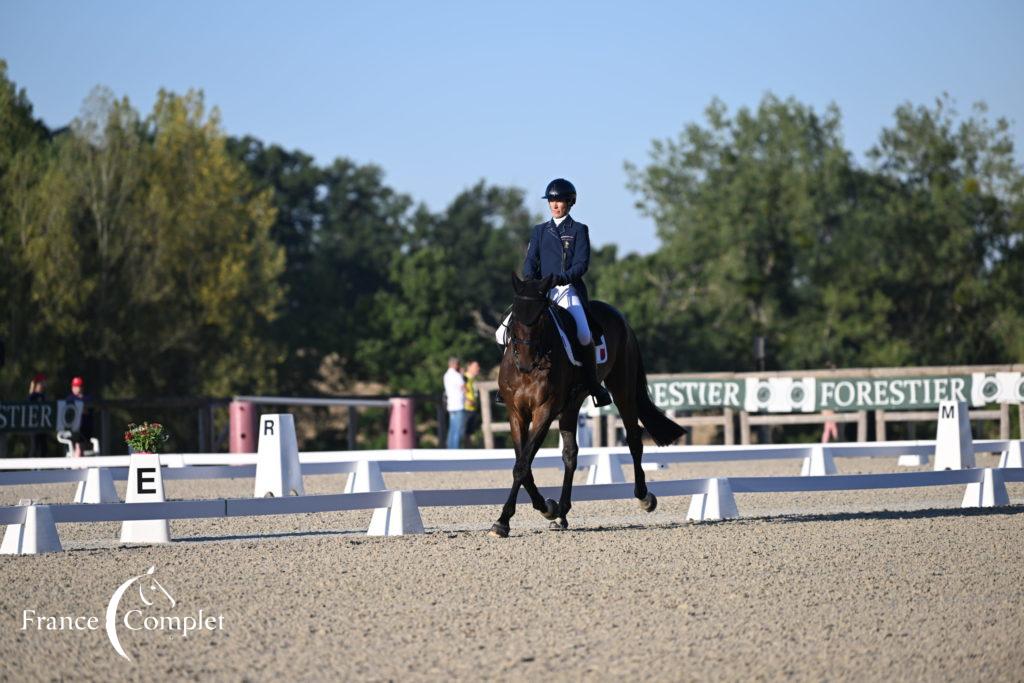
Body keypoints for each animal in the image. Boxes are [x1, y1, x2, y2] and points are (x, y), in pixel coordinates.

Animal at [489, 274, 688, 536]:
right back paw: (561, 514)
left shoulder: (545, 411)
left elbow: (522, 465)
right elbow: (524, 463)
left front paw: (503, 521)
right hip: (572, 406)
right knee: (570, 454)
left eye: (541, 317)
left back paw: (645, 497)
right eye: (515, 316)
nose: (524, 362)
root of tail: (619, 316)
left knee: (634, 439)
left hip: (622, 390)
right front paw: (546, 507)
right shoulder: (516, 413)